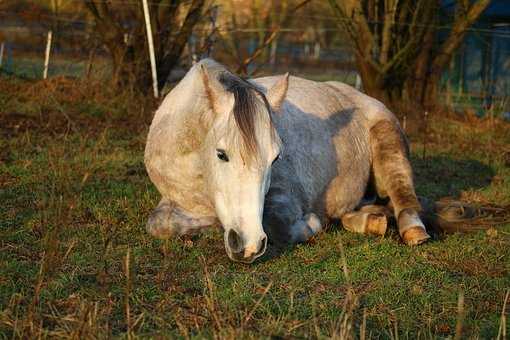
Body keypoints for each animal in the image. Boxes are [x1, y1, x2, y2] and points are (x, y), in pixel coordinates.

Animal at [143, 59, 430, 262]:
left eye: (276, 159)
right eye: (221, 154)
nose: (249, 245)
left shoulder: (285, 196)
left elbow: (279, 225)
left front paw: (313, 223)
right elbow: (159, 224)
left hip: (388, 143)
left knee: (402, 194)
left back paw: (413, 230)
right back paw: (371, 220)